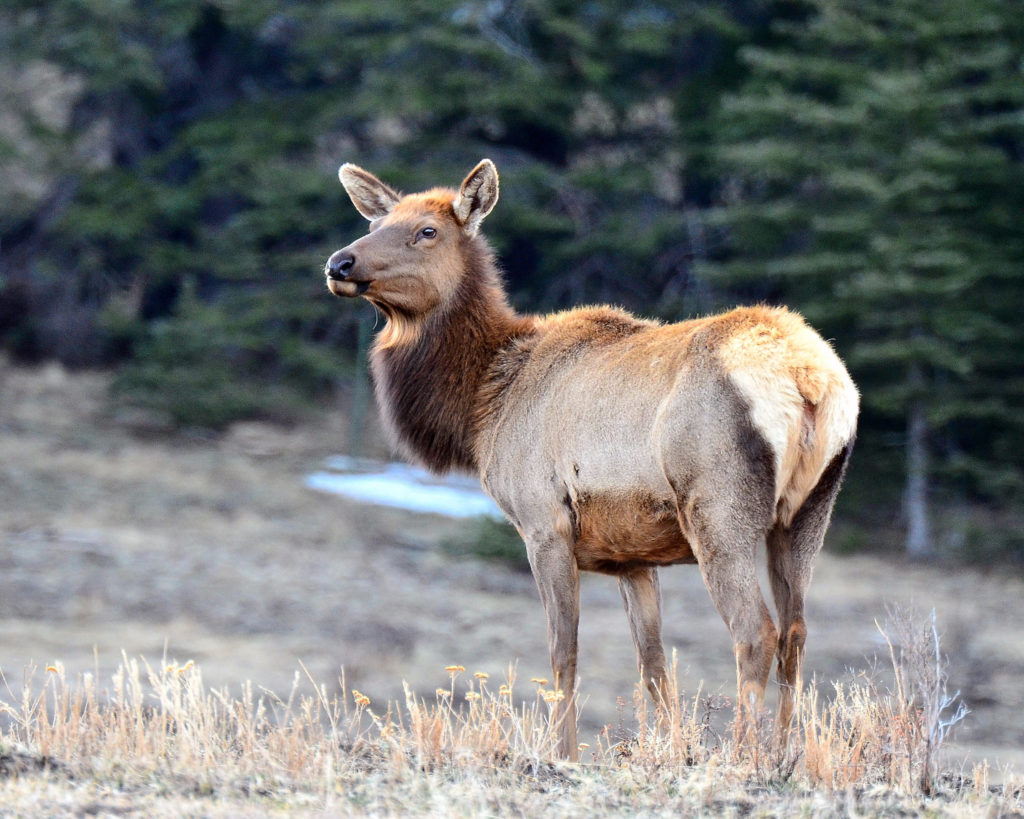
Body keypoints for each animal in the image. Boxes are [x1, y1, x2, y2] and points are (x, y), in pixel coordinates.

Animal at [325, 159, 856, 761]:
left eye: (427, 231)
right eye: (376, 222)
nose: (339, 263)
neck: (484, 405)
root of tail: (809, 380)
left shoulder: (543, 520)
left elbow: (563, 654)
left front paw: (565, 754)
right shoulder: (633, 554)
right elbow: (654, 666)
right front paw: (671, 750)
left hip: (719, 506)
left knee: (755, 631)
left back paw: (745, 756)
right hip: (808, 511)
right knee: (796, 631)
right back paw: (784, 756)